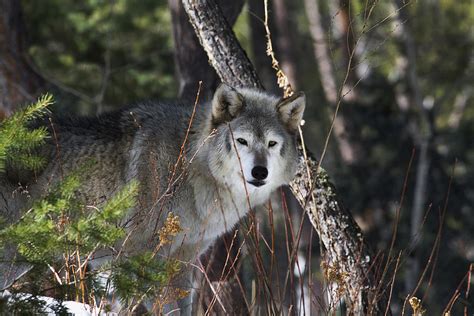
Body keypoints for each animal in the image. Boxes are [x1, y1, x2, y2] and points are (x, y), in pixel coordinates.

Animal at [0, 84, 306, 314]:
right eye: (242, 141)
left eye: (271, 144)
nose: (259, 172)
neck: (191, 166)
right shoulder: (139, 257)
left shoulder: (182, 261)